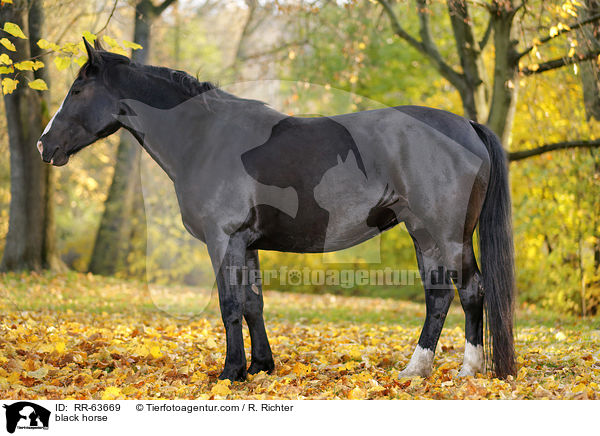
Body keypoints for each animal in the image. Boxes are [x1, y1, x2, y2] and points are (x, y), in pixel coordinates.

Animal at [37, 40, 516, 382]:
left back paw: (463, 370)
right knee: (442, 296)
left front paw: (231, 373)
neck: (204, 137)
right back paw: (423, 371)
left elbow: (230, 304)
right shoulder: (246, 243)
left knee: (466, 292)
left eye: (77, 90)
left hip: (444, 235)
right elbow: (254, 304)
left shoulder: (224, 239)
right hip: (427, 235)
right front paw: (262, 366)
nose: (44, 145)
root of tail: (466, 125)